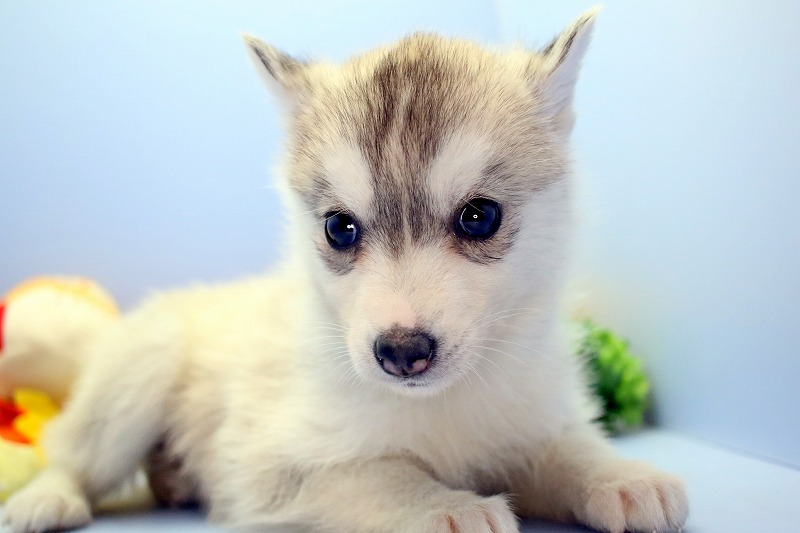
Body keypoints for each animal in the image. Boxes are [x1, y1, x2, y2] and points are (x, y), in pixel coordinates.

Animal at [1, 8, 688, 532]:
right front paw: (442, 506)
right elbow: (376, 473)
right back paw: (47, 498)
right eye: (339, 228)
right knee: (72, 454)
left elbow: (563, 449)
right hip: (137, 375)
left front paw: (620, 475)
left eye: (479, 217)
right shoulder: (271, 469)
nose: (402, 351)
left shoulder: (528, 420)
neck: (444, 407)